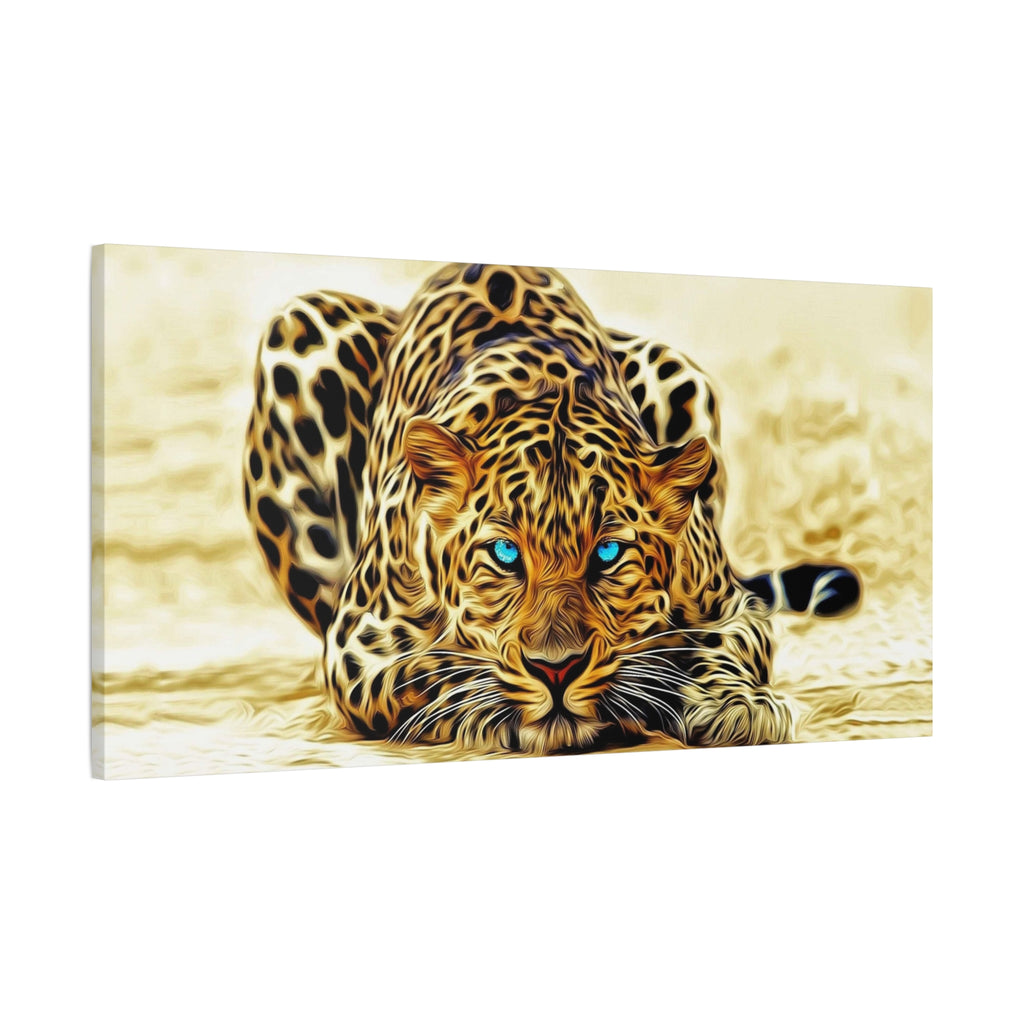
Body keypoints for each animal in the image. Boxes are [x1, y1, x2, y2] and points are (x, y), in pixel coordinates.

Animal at [242, 263, 860, 755]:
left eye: (608, 553)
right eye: (505, 553)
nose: (556, 668)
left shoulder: (732, 606)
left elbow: (726, 646)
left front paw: (737, 705)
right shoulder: (358, 643)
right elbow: (431, 670)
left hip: (676, 367)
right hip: (297, 328)